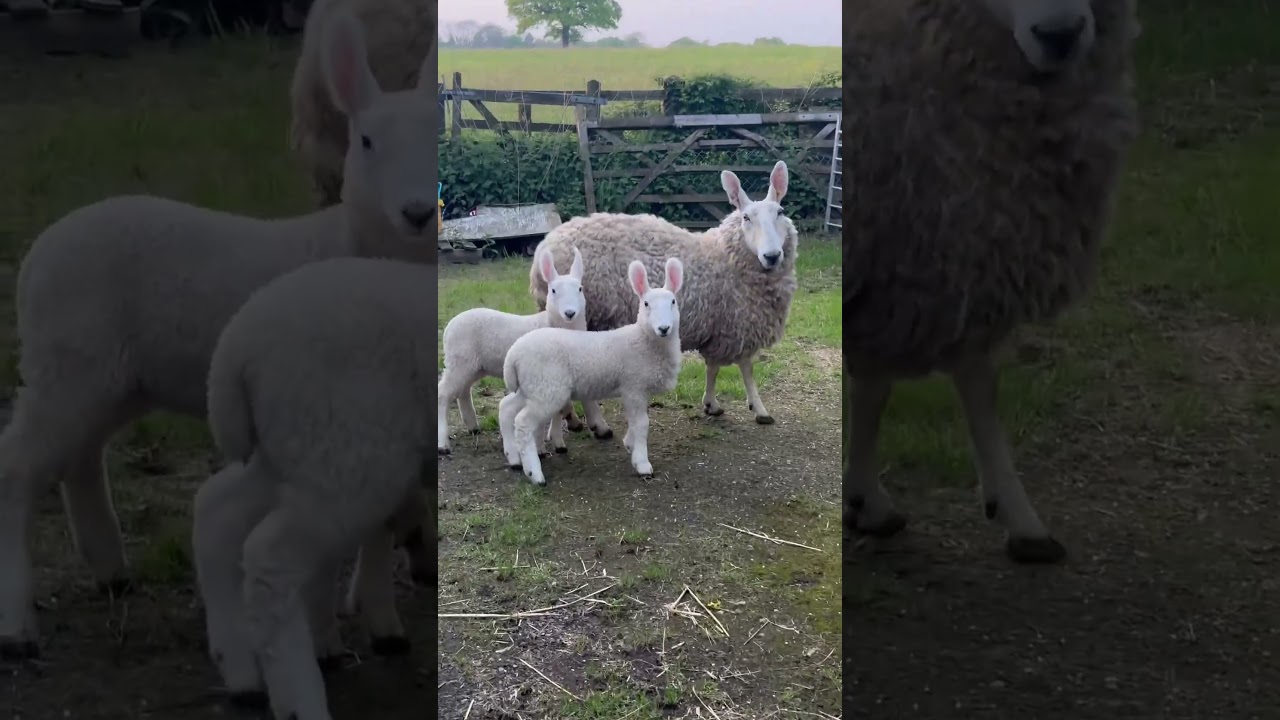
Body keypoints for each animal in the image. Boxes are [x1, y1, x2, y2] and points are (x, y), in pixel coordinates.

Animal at [195, 256, 436, 719]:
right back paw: (301, 702)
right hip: (350, 450)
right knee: (269, 560)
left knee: (215, 513)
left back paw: (239, 672)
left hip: (297, 451)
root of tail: (233, 352)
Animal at [438, 247, 612, 455]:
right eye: (553, 290)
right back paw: (443, 444)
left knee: (463, 391)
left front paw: (554, 440)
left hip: (473, 365)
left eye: (580, 289)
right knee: (443, 393)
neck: (551, 323)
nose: (569, 313)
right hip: (459, 361)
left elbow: (559, 408)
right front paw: (548, 443)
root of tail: (450, 326)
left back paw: (473, 426)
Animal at [501, 257, 686, 486]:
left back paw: (513, 458)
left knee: (505, 408)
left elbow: (637, 421)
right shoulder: (633, 386)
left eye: (673, 302)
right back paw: (534, 473)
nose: (664, 328)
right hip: (547, 389)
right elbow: (642, 423)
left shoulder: (638, 390)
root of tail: (513, 355)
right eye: (646, 304)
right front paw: (642, 463)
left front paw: (629, 443)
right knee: (523, 423)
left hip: (531, 387)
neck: (643, 340)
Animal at [531, 161, 798, 427]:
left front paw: (711, 403)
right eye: (746, 217)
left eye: (780, 212)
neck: (724, 255)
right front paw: (759, 408)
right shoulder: (737, 324)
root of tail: (544, 249)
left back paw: (572, 418)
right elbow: (745, 368)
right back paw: (595, 423)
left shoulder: (717, 327)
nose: (772, 256)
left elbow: (713, 368)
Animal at [842, 0, 1140, 564]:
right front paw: (1020, 518)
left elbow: (885, 387)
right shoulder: (924, 259)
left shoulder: (920, 266)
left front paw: (864, 497)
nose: (1061, 36)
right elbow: (967, 386)